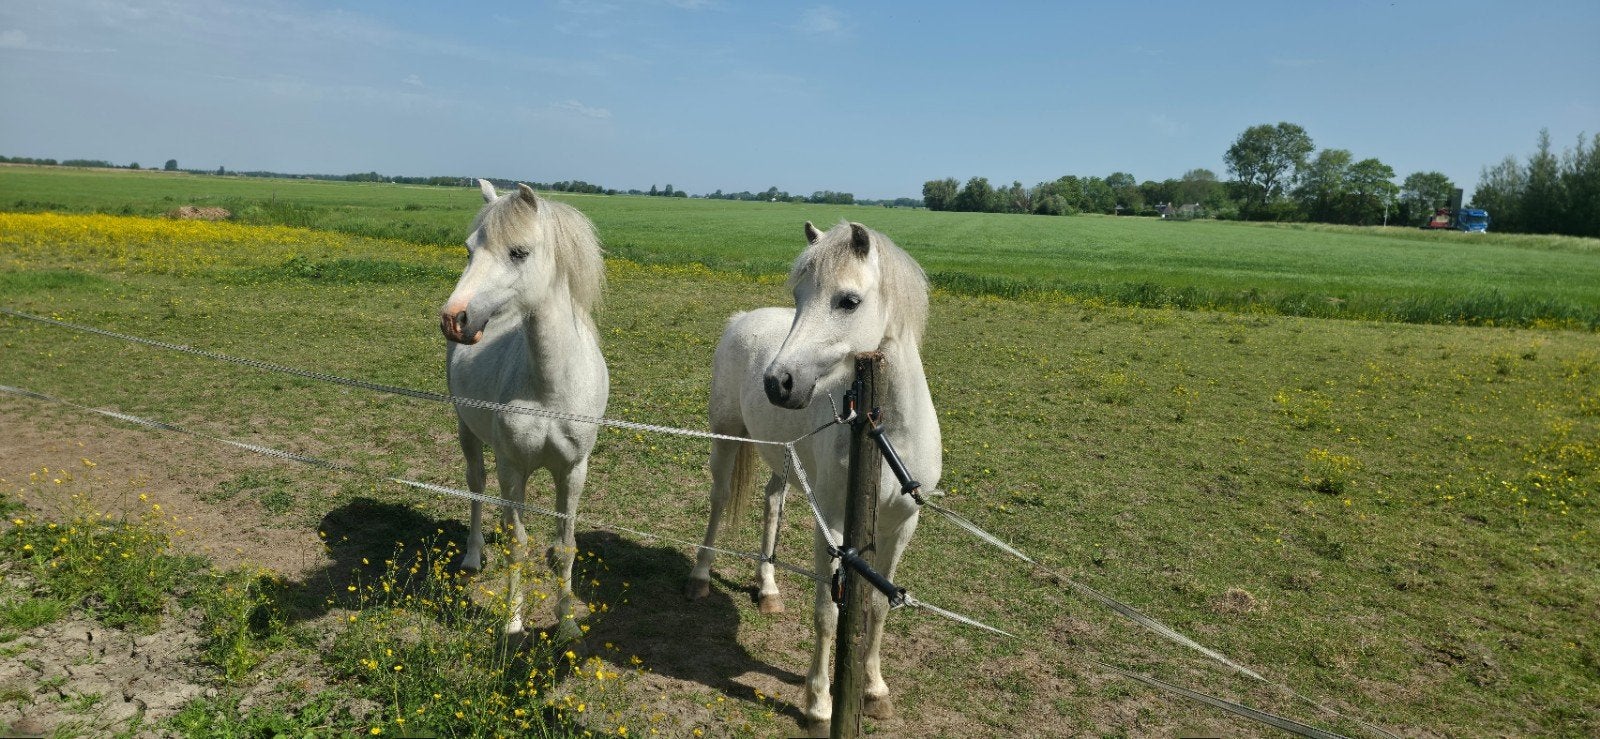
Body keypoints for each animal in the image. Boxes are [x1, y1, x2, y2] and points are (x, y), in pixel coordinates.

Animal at [439, 179, 608, 637]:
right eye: (468, 250)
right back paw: (474, 555)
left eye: (518, 252)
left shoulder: (573, 471)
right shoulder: (513, 465)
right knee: (477, 488)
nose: (454, 319)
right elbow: (518, 545)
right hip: (469, 434)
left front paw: (566, 624)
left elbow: (564, 548)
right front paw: (513, 622)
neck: (549, 392)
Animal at [687, 220, 940, 728]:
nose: (777, 382)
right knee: (719, 501)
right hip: (726, 439)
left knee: (771, 501)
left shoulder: (903, 525)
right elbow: (827, 610)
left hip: (780, 456)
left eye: (849, 301)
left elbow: (878, 607)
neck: (885, 436)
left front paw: (875, 690)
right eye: (799, 295)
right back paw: (702, 576)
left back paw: (767, 589)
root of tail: (742, 318)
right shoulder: (833, 527)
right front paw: (819, 702)